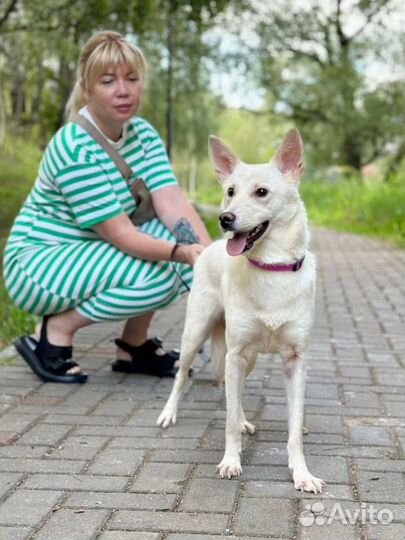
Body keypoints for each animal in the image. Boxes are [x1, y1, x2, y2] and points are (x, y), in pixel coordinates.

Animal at [156, 129, 324, 492]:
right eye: (230, 191)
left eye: (262, 192)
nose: (225, 218)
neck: (271, 267)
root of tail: (208, 248)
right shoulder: (235, 353)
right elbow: (228, 421)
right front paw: (231, 461)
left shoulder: (296, 361)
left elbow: (294, 427)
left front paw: (301, 473)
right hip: (197, 335)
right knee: (182, 375)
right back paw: (168, 413)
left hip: (249, 359)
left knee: (235, 393)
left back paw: (247, 420)